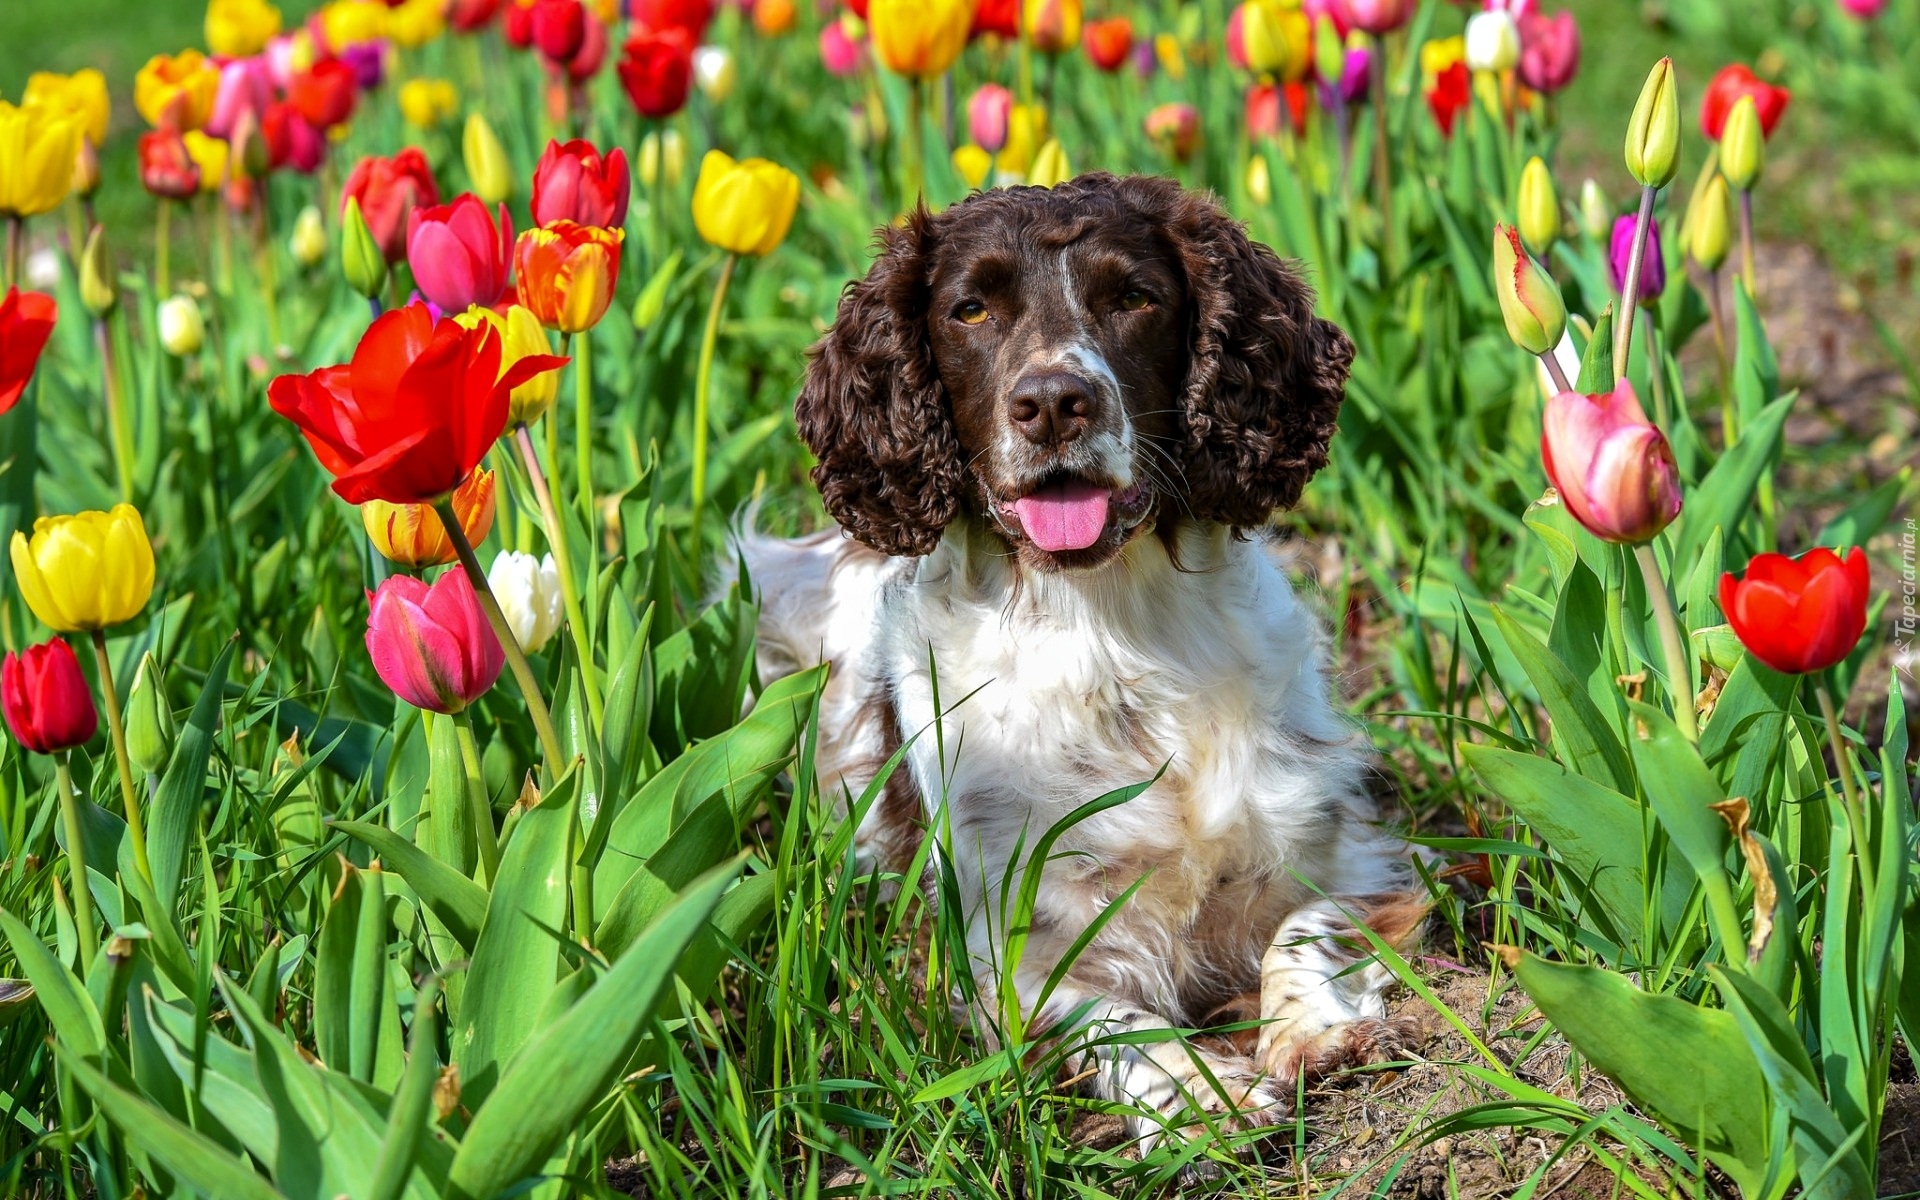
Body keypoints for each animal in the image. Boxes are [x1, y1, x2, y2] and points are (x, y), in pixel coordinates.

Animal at [741, 170, 1420, 1144]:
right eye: (972, 309)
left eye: (1134, 298)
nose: (1055, 402)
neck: (1111, 635)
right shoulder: (1002, 948)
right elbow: (1108, 1019)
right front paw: (1200, 1096)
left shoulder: (1348, 852)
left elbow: (1304, 927)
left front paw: (1310, 1030)